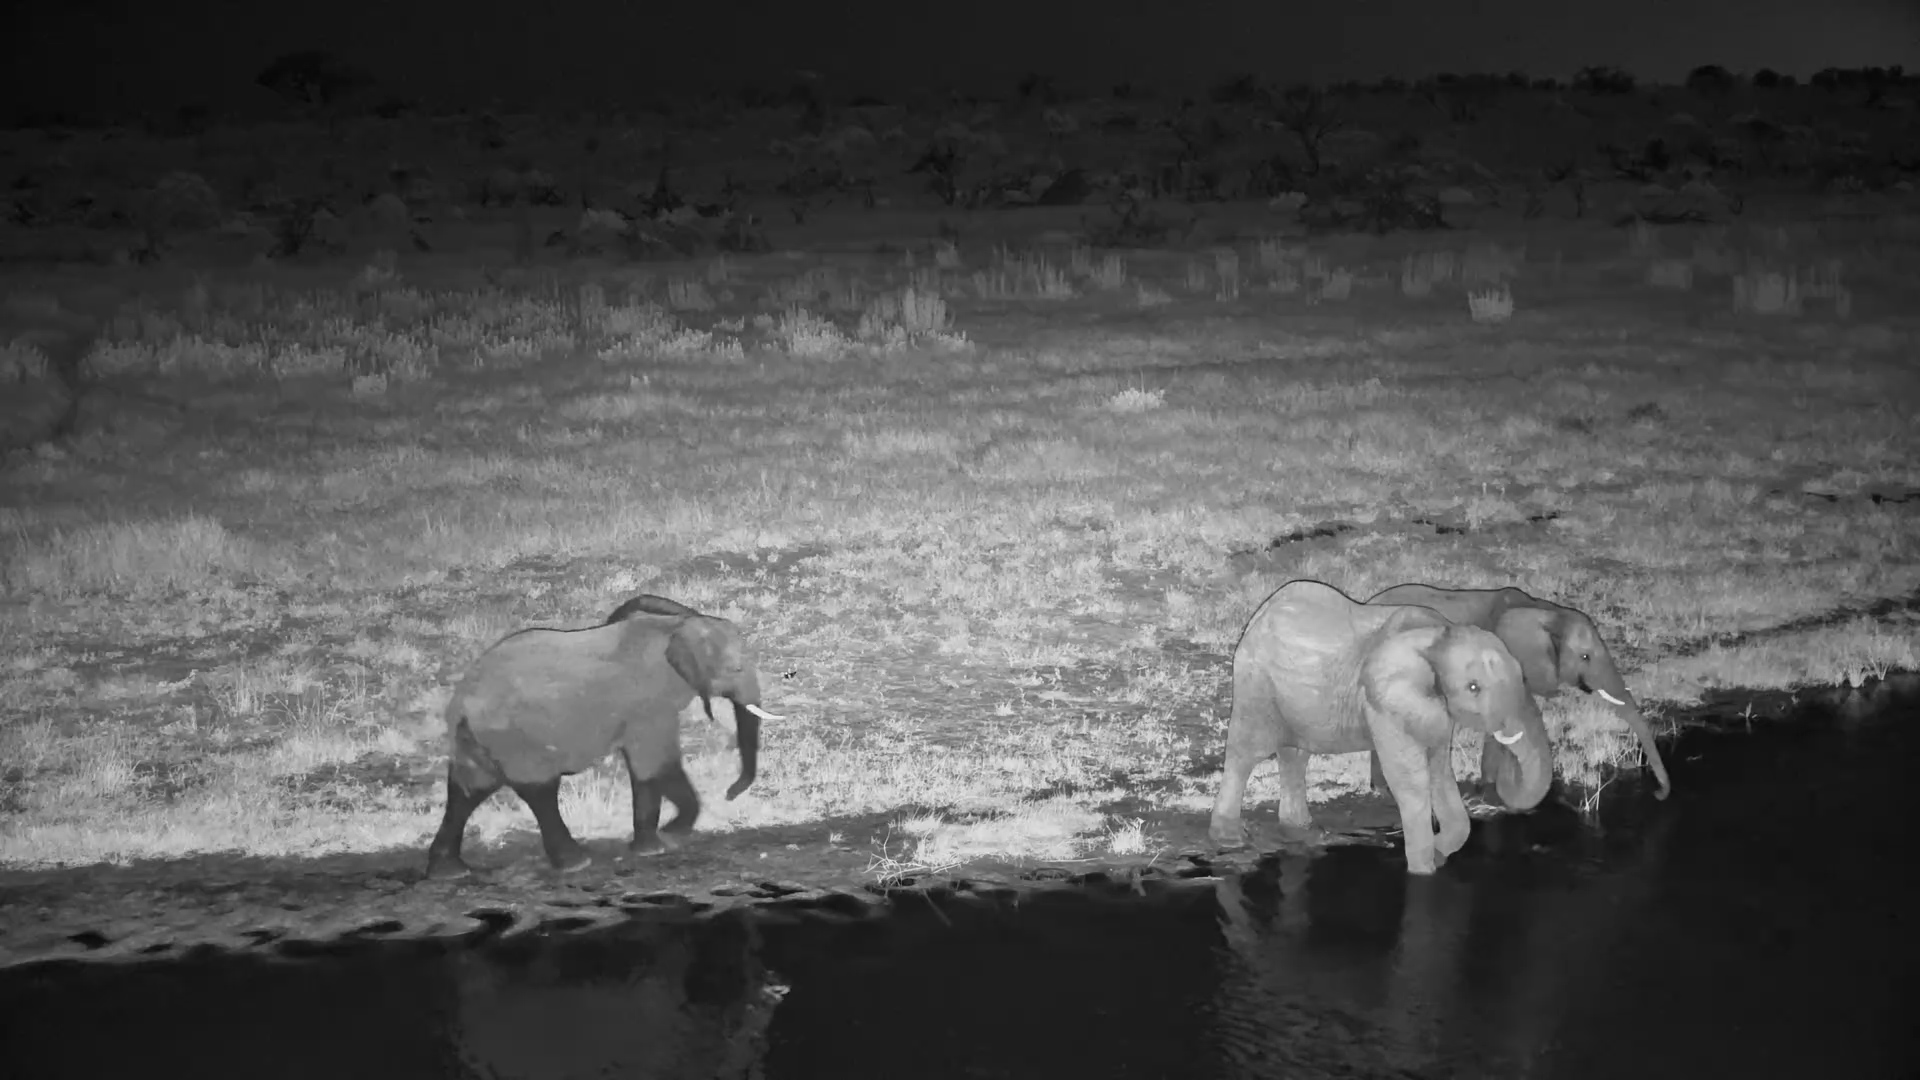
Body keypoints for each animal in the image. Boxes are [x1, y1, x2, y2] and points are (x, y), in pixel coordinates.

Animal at [425, 594, 784, 879]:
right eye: (736, 670)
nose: (730, 793)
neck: (674, 628)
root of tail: (461, 704)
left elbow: (652, 766)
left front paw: (662, 840)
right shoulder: (649, 707)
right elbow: (655, 763)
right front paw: (662, 841)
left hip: (478, 739)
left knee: (467, 789)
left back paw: (450, 871)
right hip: (516, 740)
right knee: (539, 792)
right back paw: (576, 863)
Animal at [1208, 579, 1553, 875]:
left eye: (1522, 675)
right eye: (1473, 688)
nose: (1499, 785)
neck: (1437, 635)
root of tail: (1259, 615)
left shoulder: (1432, 710)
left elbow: (1439, 772)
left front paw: (1439, 854)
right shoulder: (1384, 704)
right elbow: (1410, 780)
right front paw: (1423, 870)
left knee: (1295, 755)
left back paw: (1304, 830)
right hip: (1254, 684)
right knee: (1246, 752)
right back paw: (1230, 839)